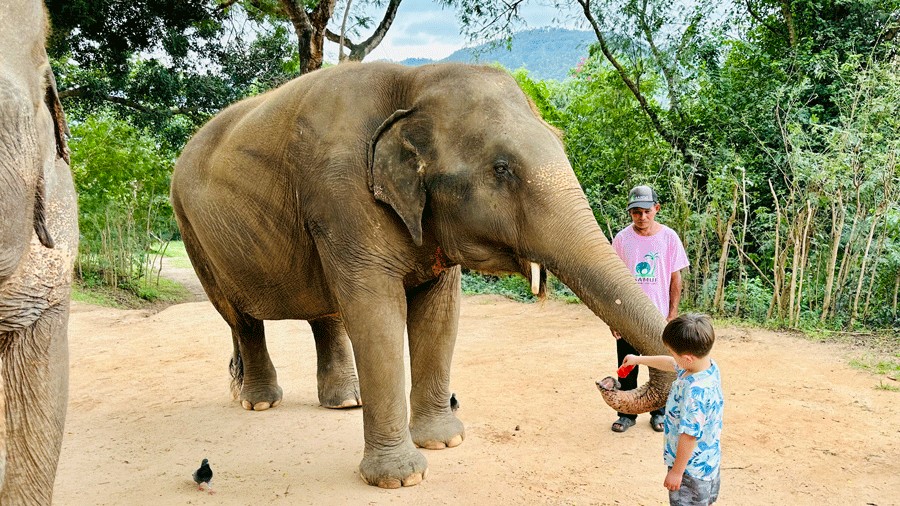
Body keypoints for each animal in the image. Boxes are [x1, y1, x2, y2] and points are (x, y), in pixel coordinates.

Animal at [171, 61, 674, 488]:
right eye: (502, 169)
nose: (608, 379)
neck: (414, 83)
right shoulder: (340, 195)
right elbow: (376, 315)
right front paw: (401, 479)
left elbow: (440, 314)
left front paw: (446, 441)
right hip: (193, 231)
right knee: (241, 318)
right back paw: (259, 401)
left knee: (321, 312)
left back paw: (342, 401)